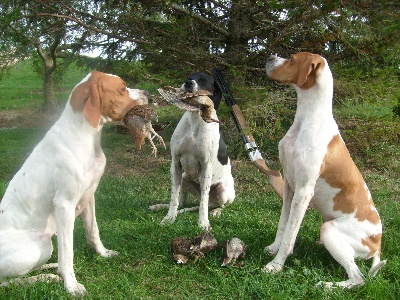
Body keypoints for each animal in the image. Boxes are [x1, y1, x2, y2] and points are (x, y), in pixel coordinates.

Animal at [0, 71, 147, 296]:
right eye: (122, 88)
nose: (147, 93)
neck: (86, 137)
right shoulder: (65, 205)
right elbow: (67, 253)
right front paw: (71, 284)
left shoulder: (89, 196)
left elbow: (93, 231)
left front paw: (103, 253)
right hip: (40, 244)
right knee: (7, 282)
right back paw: (45, 277)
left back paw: (49, 269)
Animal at [159, 73, 236, 232]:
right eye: (189, 76)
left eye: (203, 81)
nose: (188, 83)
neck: (195, 119)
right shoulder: (175, 163)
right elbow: (174, 197)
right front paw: (170, 217)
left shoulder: (206, 167)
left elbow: (203, 202)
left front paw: (203, 223)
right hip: (184, 177)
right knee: (183, 201)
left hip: (224, 190)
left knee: (217, 204)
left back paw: (216, 211)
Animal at [264, 52, 386, 288]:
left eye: (292, 58)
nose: (269, 57)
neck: (306, 121)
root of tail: (378, 242)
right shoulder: (289, 186)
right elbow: (283, 225)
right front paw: (274, 248)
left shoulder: (303, 191)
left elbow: (290, 233)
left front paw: (276, 265)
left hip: (329, 230)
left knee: (358, 278)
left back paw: (327, 286)